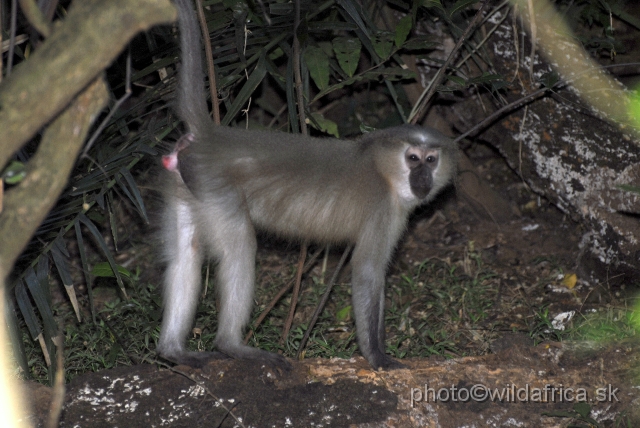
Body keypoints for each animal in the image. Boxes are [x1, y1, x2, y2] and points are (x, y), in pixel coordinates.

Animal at [159, 0, 460, 370]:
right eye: (414, 159)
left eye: (431, 160)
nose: (422, 178)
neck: (384, 170)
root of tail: (209, 136)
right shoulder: (382, 208)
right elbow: (367, 272)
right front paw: (377, 355)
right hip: (216, 186)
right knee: (239, 247)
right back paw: (231, 345)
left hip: (187, 185)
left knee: (185, 255)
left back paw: (172, 351)